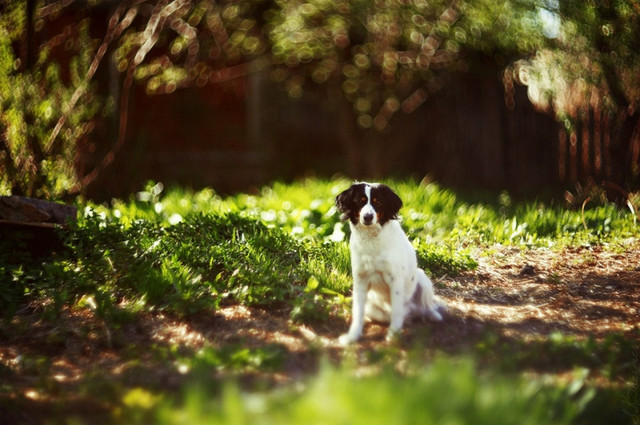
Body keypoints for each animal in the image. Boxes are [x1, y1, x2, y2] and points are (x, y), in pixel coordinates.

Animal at [336, 181, 444, 342]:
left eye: (378, 202)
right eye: (360, 201)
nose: (368, 217)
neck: (372, 240)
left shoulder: (395, 279)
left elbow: (397, 311)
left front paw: (393, 335)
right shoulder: (361, 280)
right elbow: (358, 313)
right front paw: (353, 336)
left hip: (423, 280)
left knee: (427, 307)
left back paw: (434, 316)